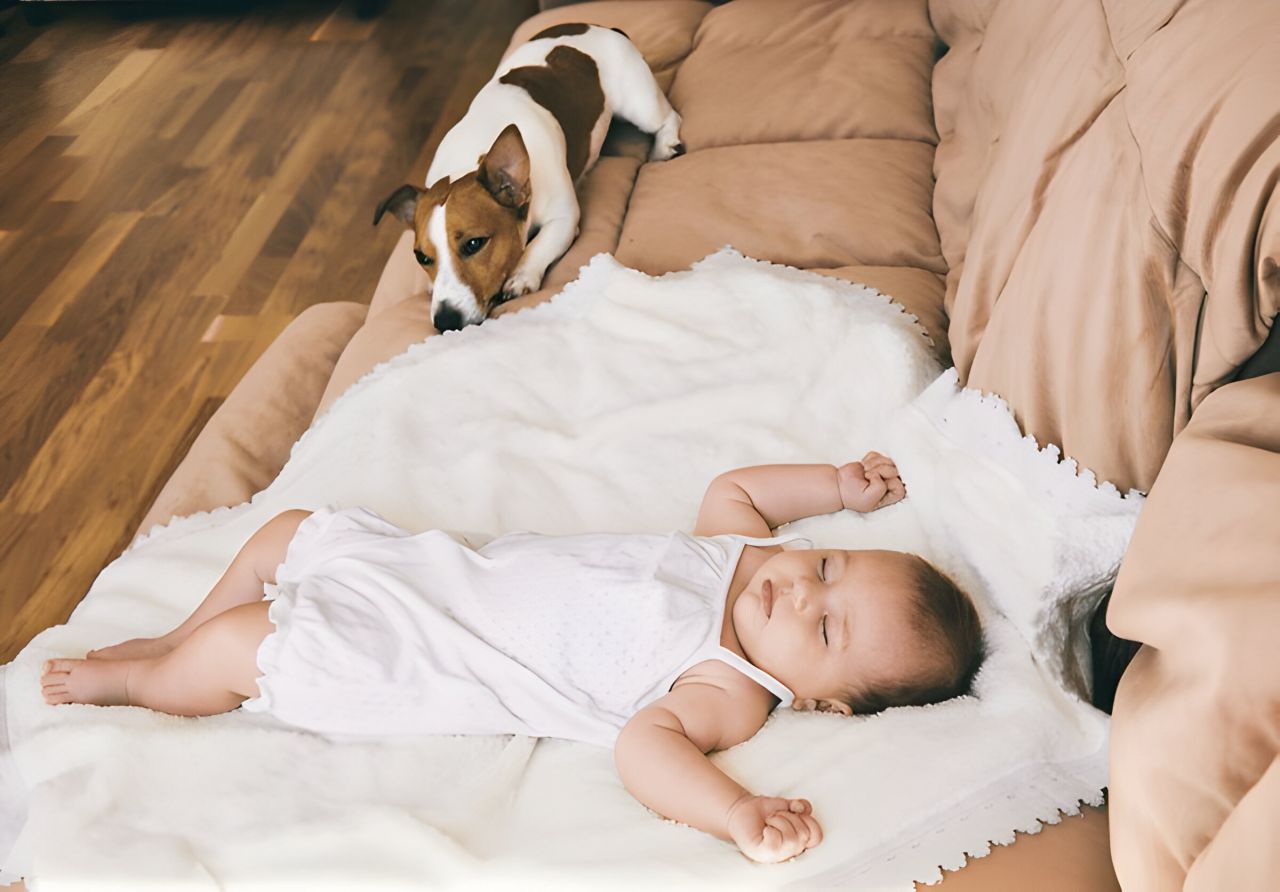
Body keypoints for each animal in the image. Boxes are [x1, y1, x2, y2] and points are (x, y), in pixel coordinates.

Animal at [373, 24, 686, 332]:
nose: (445, 322)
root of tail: (604, 27)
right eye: (422, 257)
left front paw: (521, 275)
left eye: (474, 244)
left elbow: (538, 246)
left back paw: (664, 146)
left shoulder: (564, 219)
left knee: (669, 117)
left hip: (640, 104)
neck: (470, 156)